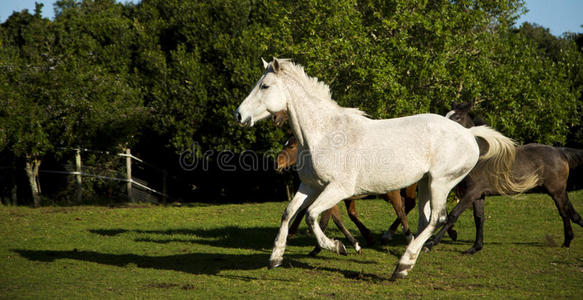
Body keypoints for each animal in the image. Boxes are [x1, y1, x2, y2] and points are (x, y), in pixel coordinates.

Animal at [235, 58, 536, 278]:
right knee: (424, 219)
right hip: (425, 183)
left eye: (265, 86)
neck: (325, 134)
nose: (239, 115)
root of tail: (469, 134)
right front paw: (275, 257)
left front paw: (340, 247)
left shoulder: (338, 188)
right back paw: (407, 260)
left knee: (437, 219)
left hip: (441, 182)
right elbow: (288, 214)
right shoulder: (310, 185)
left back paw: (401, 266)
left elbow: (311, 216)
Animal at [424, 102, 583, 254]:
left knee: (565, 212)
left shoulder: (472, 193)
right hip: (558, 191)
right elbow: (479, 218)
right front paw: (475, 248)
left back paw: (567, 241)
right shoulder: (479, 195)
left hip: (556, 191)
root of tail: (560, 152)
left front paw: (430, 244)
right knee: (571, 213)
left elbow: (453, 215)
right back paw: (568, 239)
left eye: (457, 117)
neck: (481, 157)